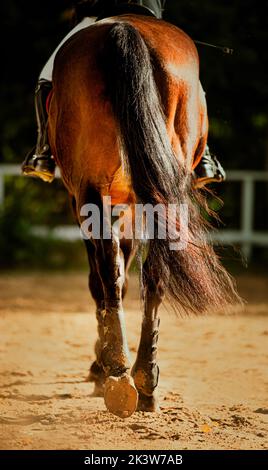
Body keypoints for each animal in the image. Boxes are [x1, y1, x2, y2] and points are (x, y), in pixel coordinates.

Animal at [47, 16, 239, 416]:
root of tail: (124, 27)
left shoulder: (84, 200)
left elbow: (104, 278)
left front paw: (99, 364)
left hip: (92, 193)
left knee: (108, 273)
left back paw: (118, 372)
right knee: (154, 272)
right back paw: (144, 380)